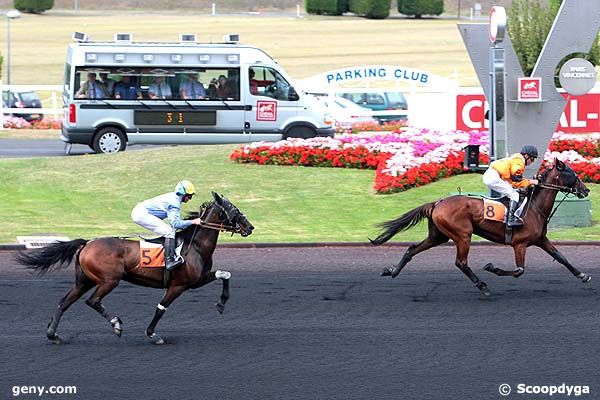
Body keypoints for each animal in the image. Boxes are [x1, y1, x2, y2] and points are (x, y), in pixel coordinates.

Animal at [17, 191, 253, 344]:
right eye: (233, 209)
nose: (250, 227)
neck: (193, 244)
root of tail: (87, 243)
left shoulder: (196, 280)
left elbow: (225, 274)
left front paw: (221, 303)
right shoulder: (178, 285)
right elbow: (161, 308)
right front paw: (152, 334)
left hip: (84, 281)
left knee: (64, 302)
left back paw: (53, 335)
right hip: (109, 280)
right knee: (92, 301)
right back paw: (116, 324)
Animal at [370, 159, 592, 296]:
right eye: (572, 173)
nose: (586, 190)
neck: (533, 208)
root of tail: (437, 203)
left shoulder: (541, 240)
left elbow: (561, 257)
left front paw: (583, 275)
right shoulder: (519, 244)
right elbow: (519, 270)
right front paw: (492, 267)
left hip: (439, 236)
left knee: (412, 249)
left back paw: (392, 271)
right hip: (462, 235)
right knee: (461, 263)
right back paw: (482, 285)